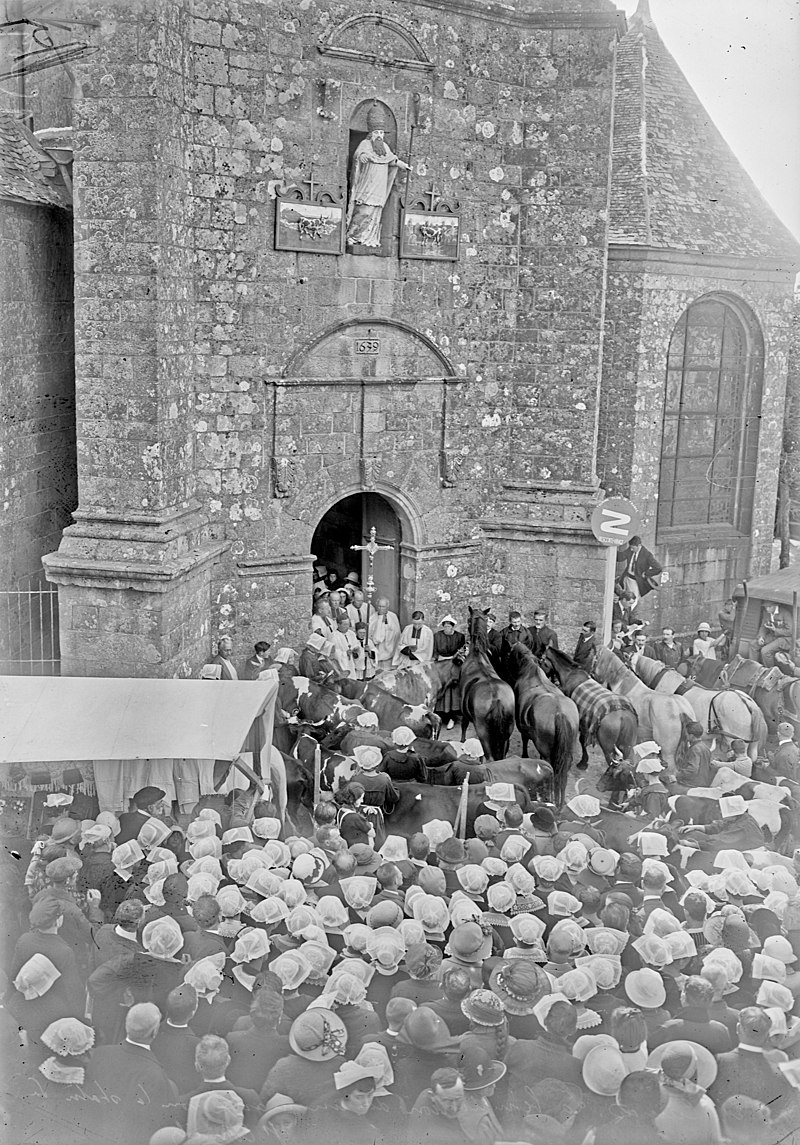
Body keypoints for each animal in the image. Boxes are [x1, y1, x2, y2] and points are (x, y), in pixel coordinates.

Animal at [460, 609, 517, 760]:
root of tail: (497, 699)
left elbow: (463, 725)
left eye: (469, 620)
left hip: (483, 732)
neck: (477, 656)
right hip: (506, 735)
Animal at [503, 645, 579, 806]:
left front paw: (524, 755)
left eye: (510, 654)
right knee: (562, 775)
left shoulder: (522, 727)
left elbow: (525, 739)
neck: (532, 672)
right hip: (568, 753)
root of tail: (559, 713)